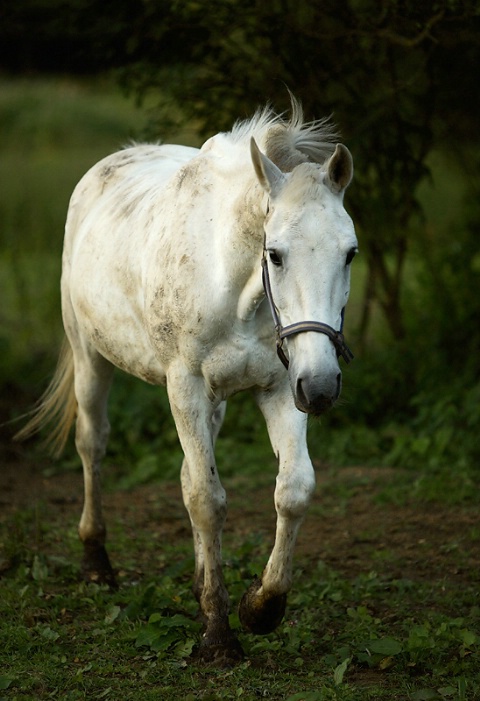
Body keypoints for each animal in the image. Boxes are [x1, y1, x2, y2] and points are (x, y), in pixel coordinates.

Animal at [15, 97, 356, 660]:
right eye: (275, 253)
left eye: (350, 253)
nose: (324, 386)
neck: (235, 286)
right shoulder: (187, 386)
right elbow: (206, 500)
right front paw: (218, 633)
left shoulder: (280, 388)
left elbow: (292, 490)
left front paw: (260, 607)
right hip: (91, 357)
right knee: (92, 443)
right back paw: (96, 562)